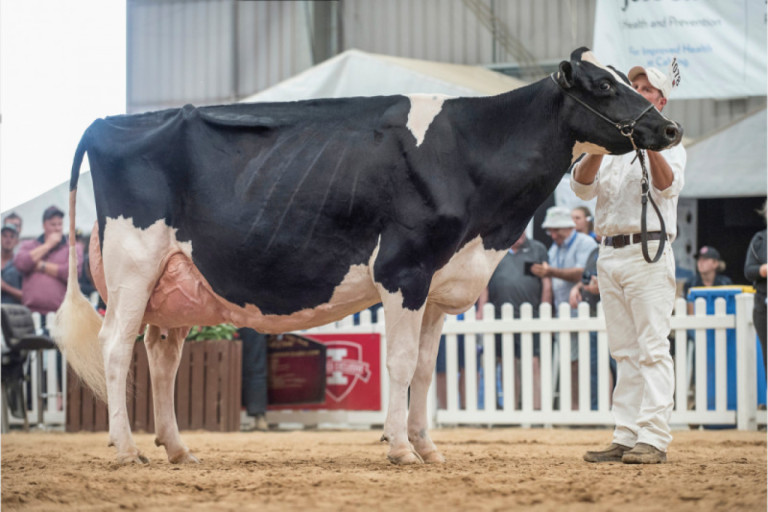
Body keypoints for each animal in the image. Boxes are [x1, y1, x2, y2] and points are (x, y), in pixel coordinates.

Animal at [55, 48, 680, 464]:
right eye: (602, 87)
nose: (670, 127)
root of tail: (110, 121)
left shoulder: (438, 286)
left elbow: (426, 370)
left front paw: (428, 449)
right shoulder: (404, 271)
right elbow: (399, 365)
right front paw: (400, 448)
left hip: (174, 286)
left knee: (162, 358)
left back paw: (178, 448)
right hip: (134, 266)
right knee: (116, 349)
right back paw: (126, 449)